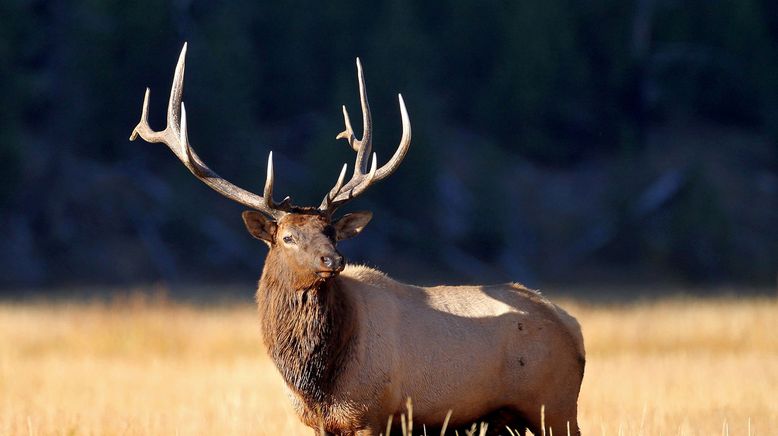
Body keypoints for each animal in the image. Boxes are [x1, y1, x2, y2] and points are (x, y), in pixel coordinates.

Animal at [130, 44, 584, 436]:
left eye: (330, 231)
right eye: (288, 237)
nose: (333, 260)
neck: (315, 381)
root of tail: (573, 327)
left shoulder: (372, 414)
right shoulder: (319, 424)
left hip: (555, 406)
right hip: (509, 418)